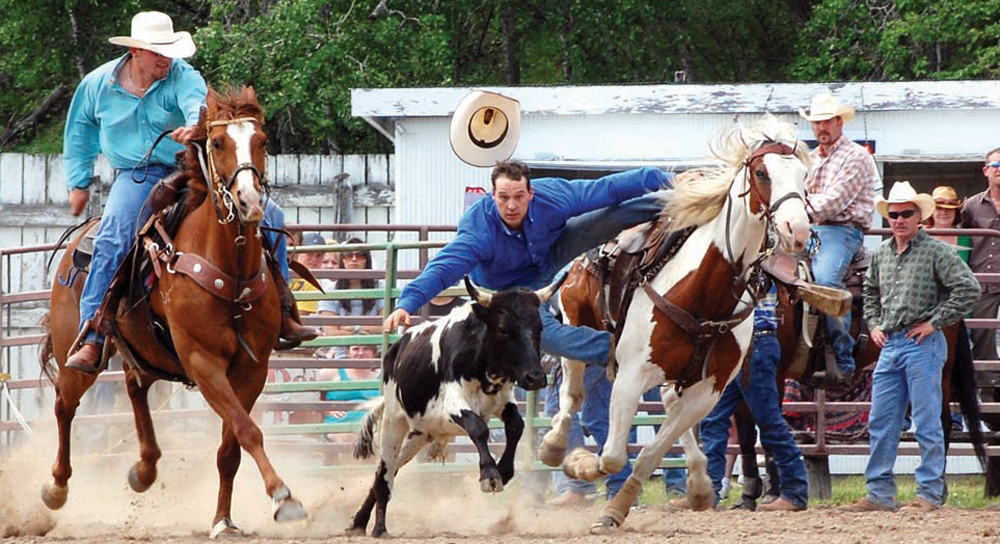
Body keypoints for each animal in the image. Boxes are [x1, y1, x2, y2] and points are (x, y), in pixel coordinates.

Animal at [39, 87, 306, 536]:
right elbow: (248, 430)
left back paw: (145, 469)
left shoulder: (252, 369)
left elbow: (231, 448)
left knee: (135, 388)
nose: (250, 201)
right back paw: (56, 487)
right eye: (218, 143)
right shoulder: (203, 362)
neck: (229, 267)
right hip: (75, 352)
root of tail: (82, 236)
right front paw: (284, 497)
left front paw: (223, 520)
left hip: (145, 351)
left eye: (262, 141)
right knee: (64, 404)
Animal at [540, 115, 812, 532]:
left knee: (666, 404)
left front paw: (616, 509)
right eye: (762, 173)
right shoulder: (630, 376)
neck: (703, 292)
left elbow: (651, 453)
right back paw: (555, 448)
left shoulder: (708, 391)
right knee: (572, 395)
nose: (797, 230)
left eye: (803, 175)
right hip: (574, 322)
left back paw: (699, 483)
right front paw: (582, 465)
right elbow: (613, 456)